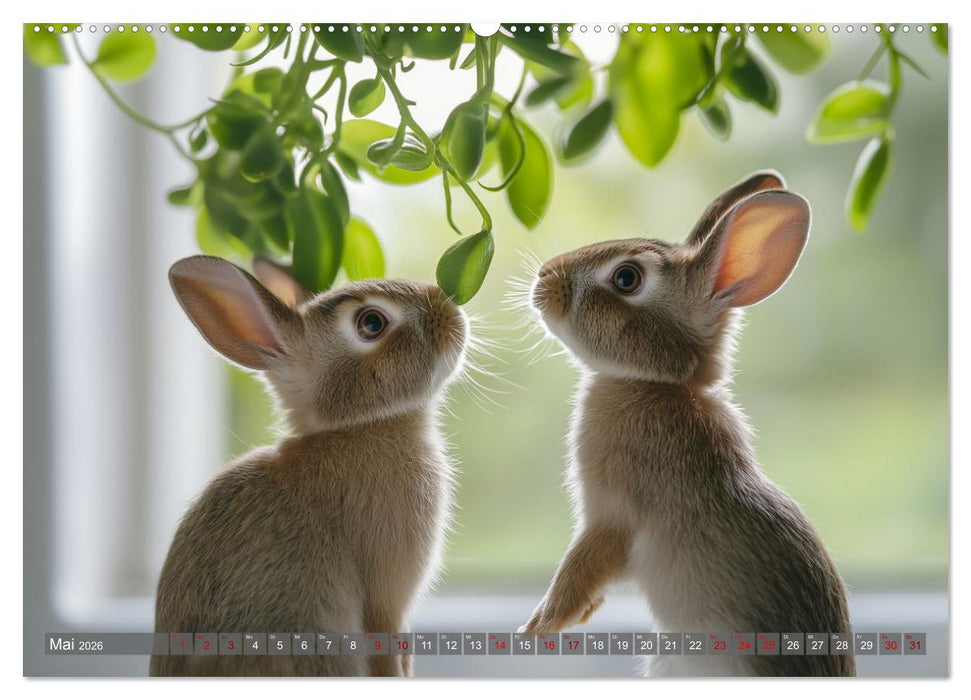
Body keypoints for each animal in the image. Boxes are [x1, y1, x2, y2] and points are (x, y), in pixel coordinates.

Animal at [519, 171, 855, 677]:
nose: (545, 278)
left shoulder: (611, 516)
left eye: (626, 278)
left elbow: (580, 567)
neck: (657, 383)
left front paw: (539, 627)